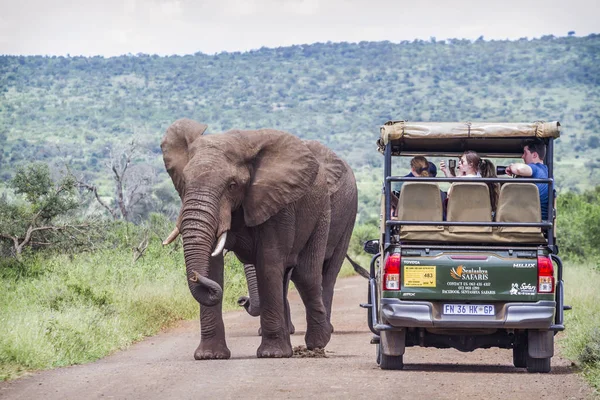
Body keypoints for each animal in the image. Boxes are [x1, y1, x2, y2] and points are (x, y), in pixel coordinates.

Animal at [159, 119, 338, 360]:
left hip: (321, 213)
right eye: (184, 182)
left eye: (232, 185)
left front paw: (272, 354)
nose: (241, 299)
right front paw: (210, 356)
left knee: (306, 276)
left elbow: (268, 263)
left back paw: (316, 345)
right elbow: (213, 267)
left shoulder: (276, 203)